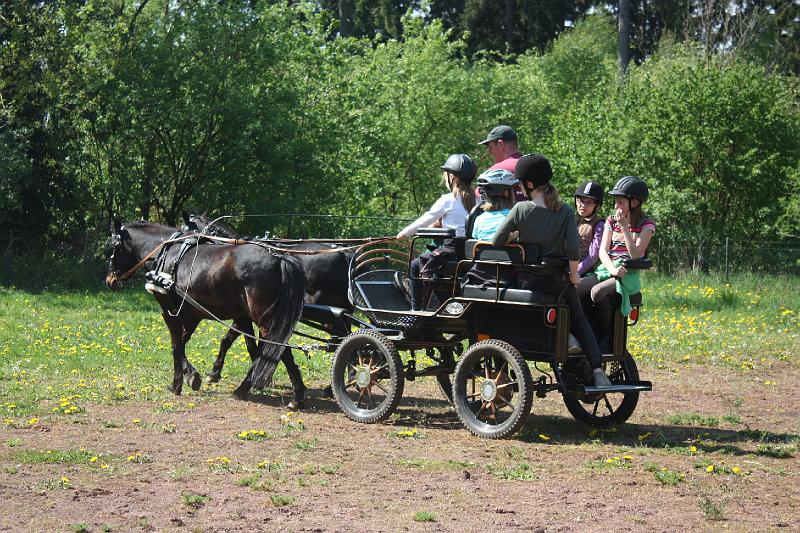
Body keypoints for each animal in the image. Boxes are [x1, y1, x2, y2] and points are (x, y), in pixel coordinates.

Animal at [102, 218, 306, 406]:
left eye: (111, 248)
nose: (110, 281)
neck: (167, 254)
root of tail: (279, 258)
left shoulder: (169, 310)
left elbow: (176, 345)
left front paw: (177, 384)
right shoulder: (195, 314)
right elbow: (184, 342)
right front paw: (192, 375)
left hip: (265, 318)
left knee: (278, 348)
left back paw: (255, 390)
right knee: (277, 349)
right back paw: (293, 394)